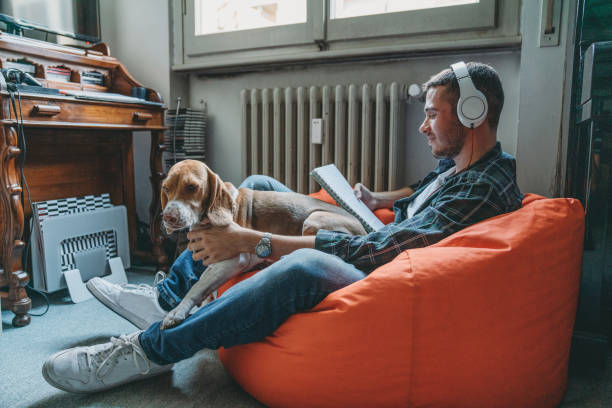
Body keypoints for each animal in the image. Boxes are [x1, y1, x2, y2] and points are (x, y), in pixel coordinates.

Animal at [160, 159, 366, 328]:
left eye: (192, 187)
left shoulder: (233, 260)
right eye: (166, 189)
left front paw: (177, 311)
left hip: (313, 219)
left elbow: (196, 286)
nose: (168, 217)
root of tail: (364, 231)